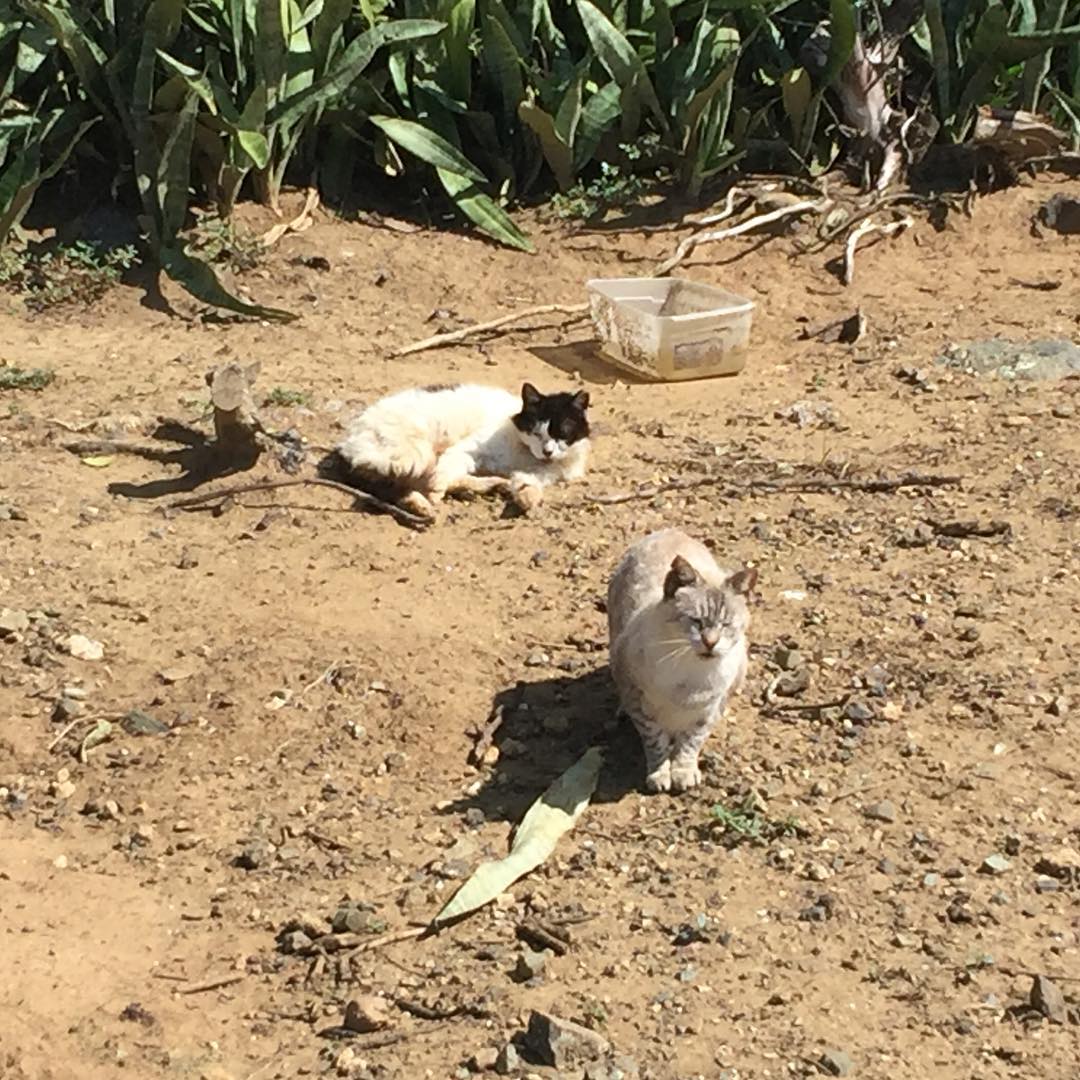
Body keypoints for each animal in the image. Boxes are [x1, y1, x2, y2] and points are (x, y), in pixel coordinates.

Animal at [336, 380, 591, 518]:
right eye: (536, 432)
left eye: (562, 434)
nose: (547, 452)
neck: (527, 457)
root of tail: (346, 444)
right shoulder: (466, 450)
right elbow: (442, 477)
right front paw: (435, 493)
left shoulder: (541, 474)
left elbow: (528, 483)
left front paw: (526, 498)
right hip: (414, 456)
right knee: (391, 485)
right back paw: (422, 504)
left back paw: (492, 486)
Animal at [613, 531, 756, 794]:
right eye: (696, 621)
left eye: (726, 625)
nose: (710, 642)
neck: (691, 673)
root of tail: (670, 530)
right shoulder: (639, 701)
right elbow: (655, 741)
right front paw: (659, 775)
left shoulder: (708, 711)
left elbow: (690, 743)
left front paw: (683, 773)